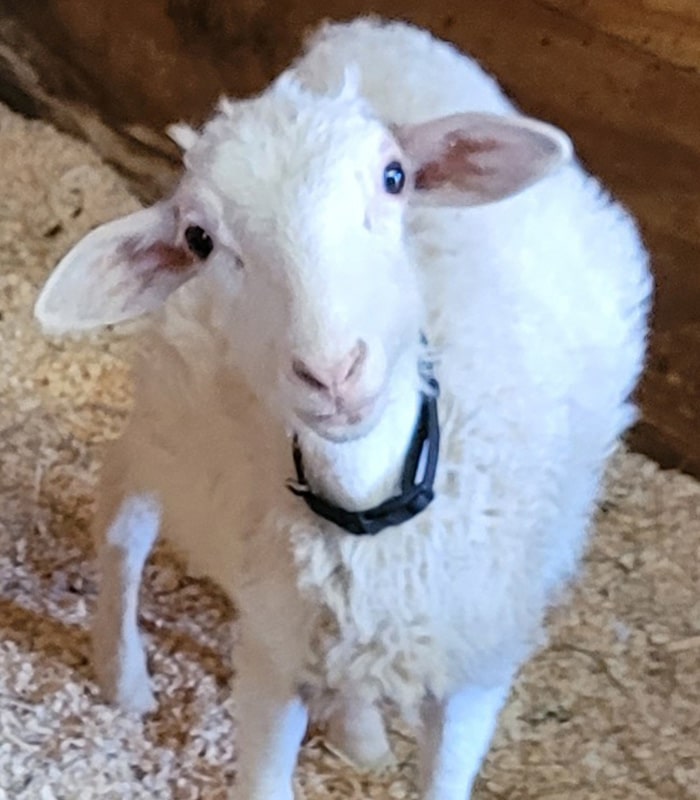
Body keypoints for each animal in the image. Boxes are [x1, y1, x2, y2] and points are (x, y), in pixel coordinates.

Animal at [33, 17, 652, 800]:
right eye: (200, 239)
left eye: (395, 177)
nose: (333, 373)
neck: (373, 512)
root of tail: (363, 30)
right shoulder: (273, 659)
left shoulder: (473, 665)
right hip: (170, 406)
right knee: (125, 511)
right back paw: (125, 676)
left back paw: (358, 732)